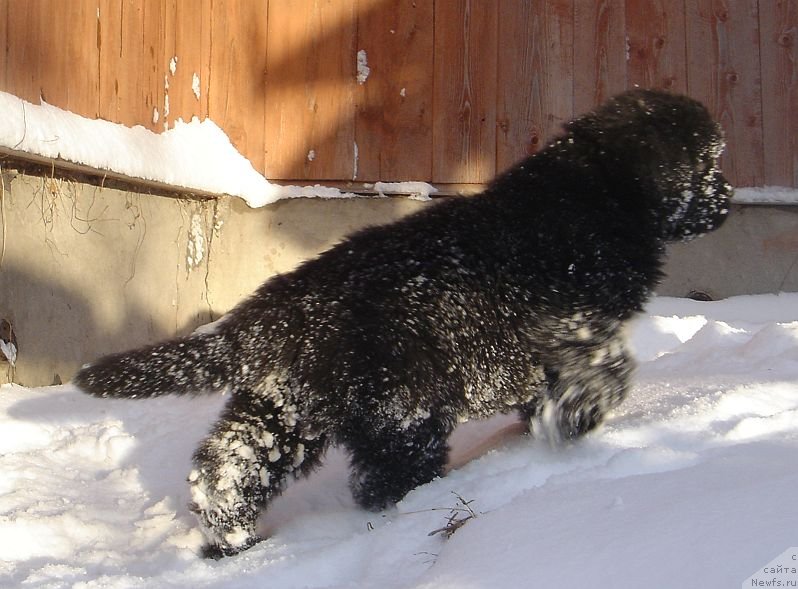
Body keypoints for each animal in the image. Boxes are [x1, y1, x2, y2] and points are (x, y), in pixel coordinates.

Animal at [72, 88, 736, 556]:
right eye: (709, 163)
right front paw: (577, 421)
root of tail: (286, 301)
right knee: (386, 476)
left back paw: (231, 540)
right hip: (400, 406)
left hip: (288, 405)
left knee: (231, 463)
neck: (602, 188)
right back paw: (413, 506)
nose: (728, 204)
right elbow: (603, 370)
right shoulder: (574, 323)